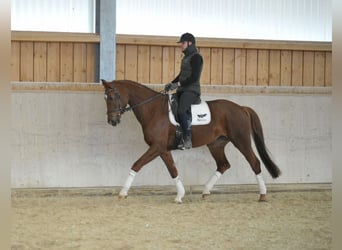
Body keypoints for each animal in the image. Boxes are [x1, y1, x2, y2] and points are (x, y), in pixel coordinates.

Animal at [101, 80, 280, 203]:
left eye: (114, 96)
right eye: (105, 98)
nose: (112, 121)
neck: (154, 110)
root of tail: (241, 108)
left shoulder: (157, 147)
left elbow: (136, 165)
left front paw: (122, 193)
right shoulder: (163, 149)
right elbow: (173, 170)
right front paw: (180, 196)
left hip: (241, 141)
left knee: (254, 162)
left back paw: (262, 195)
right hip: (216, 144)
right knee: (223, 165)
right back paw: (206, 191)